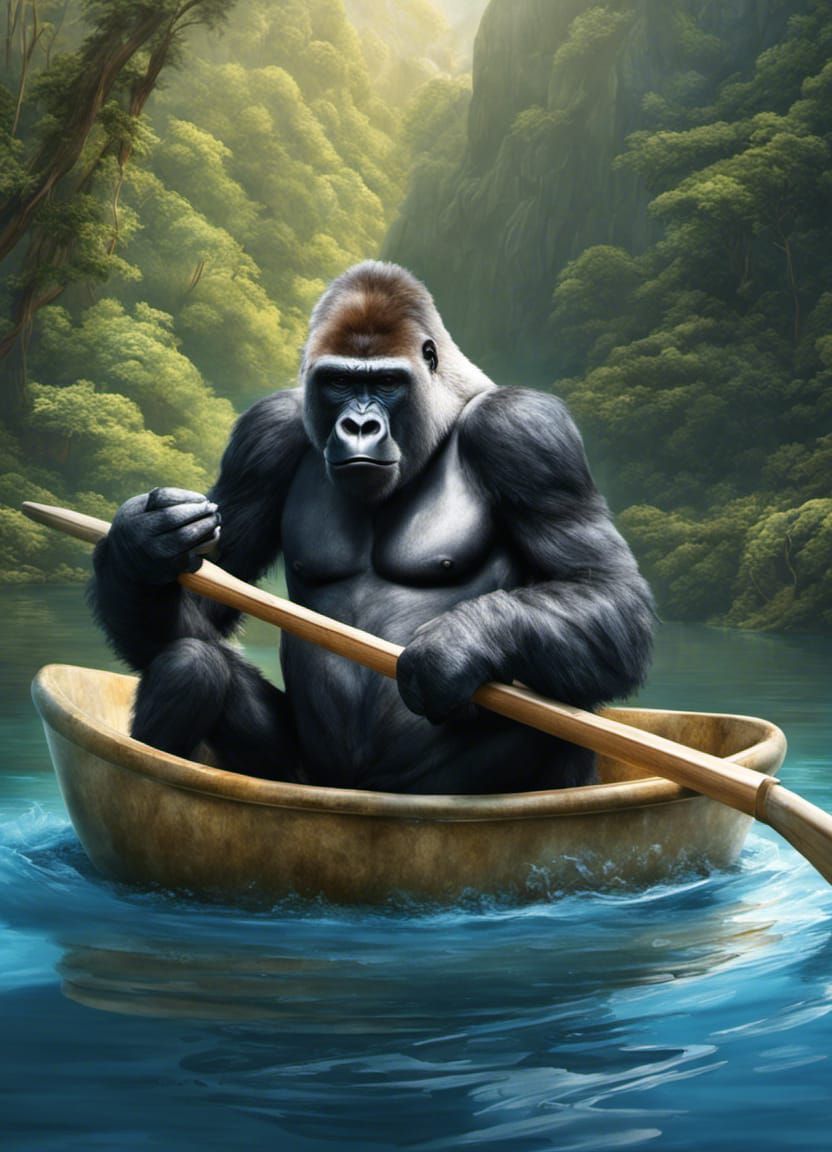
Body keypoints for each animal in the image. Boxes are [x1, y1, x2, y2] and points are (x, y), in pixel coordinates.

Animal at [89, 261, 654, 794]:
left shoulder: (525, 430)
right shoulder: (263, 435)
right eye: (340, 382)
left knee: (562, 704)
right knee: (191, 664)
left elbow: (603, 588)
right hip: (310, 777)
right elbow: (206, 597)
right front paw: (143, 547)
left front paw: (455, 646)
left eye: (385, 383)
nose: (359, 426)